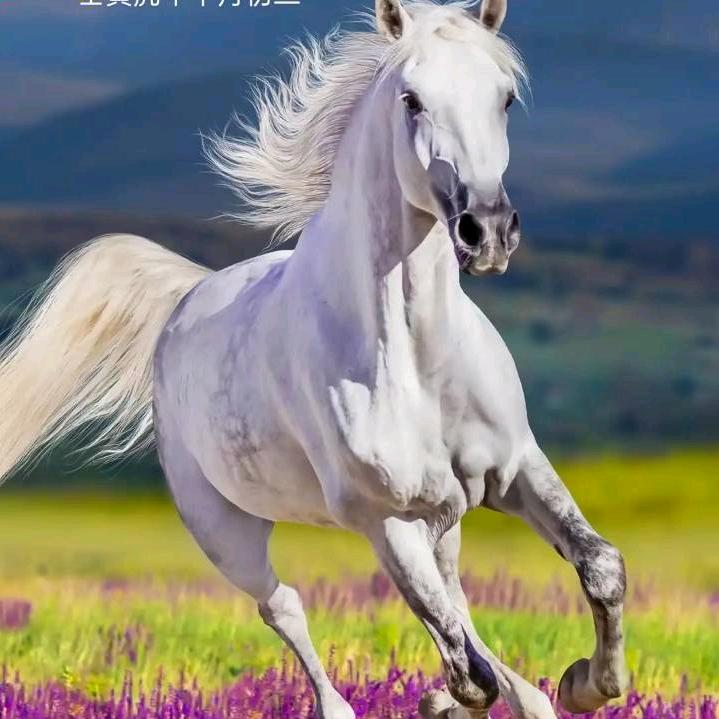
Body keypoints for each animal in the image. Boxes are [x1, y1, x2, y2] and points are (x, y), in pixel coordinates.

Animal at [0, 1, 628, 718]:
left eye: (505, 98)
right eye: (411, 100)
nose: (487, 231)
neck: (416, 360)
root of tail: (187, 299)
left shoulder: (515, 468)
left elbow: (599, 567)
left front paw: (583, 684)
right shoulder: (385, 519)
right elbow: (461, 661)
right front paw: (473, 695)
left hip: (441, 518)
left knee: (457, 599)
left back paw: (526, 696)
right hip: (227, 532)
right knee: (288, 608)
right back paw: (357, 703)